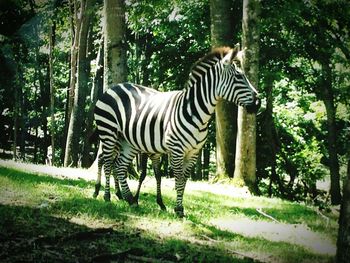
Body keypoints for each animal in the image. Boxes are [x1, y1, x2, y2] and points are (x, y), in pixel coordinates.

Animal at [94, 46, 262, 218]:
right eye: (238, 77)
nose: (258, 102)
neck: (195, 111)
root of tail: (113, 87)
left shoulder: (194, 152)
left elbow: (184, 180)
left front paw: (178, 208)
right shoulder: (176, 149)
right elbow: (178, 178)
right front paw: (178, 209)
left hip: (128, 142)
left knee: (119, 166)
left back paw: (130, 199)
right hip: (109, 133)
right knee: (107, 162)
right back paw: (107, 196)